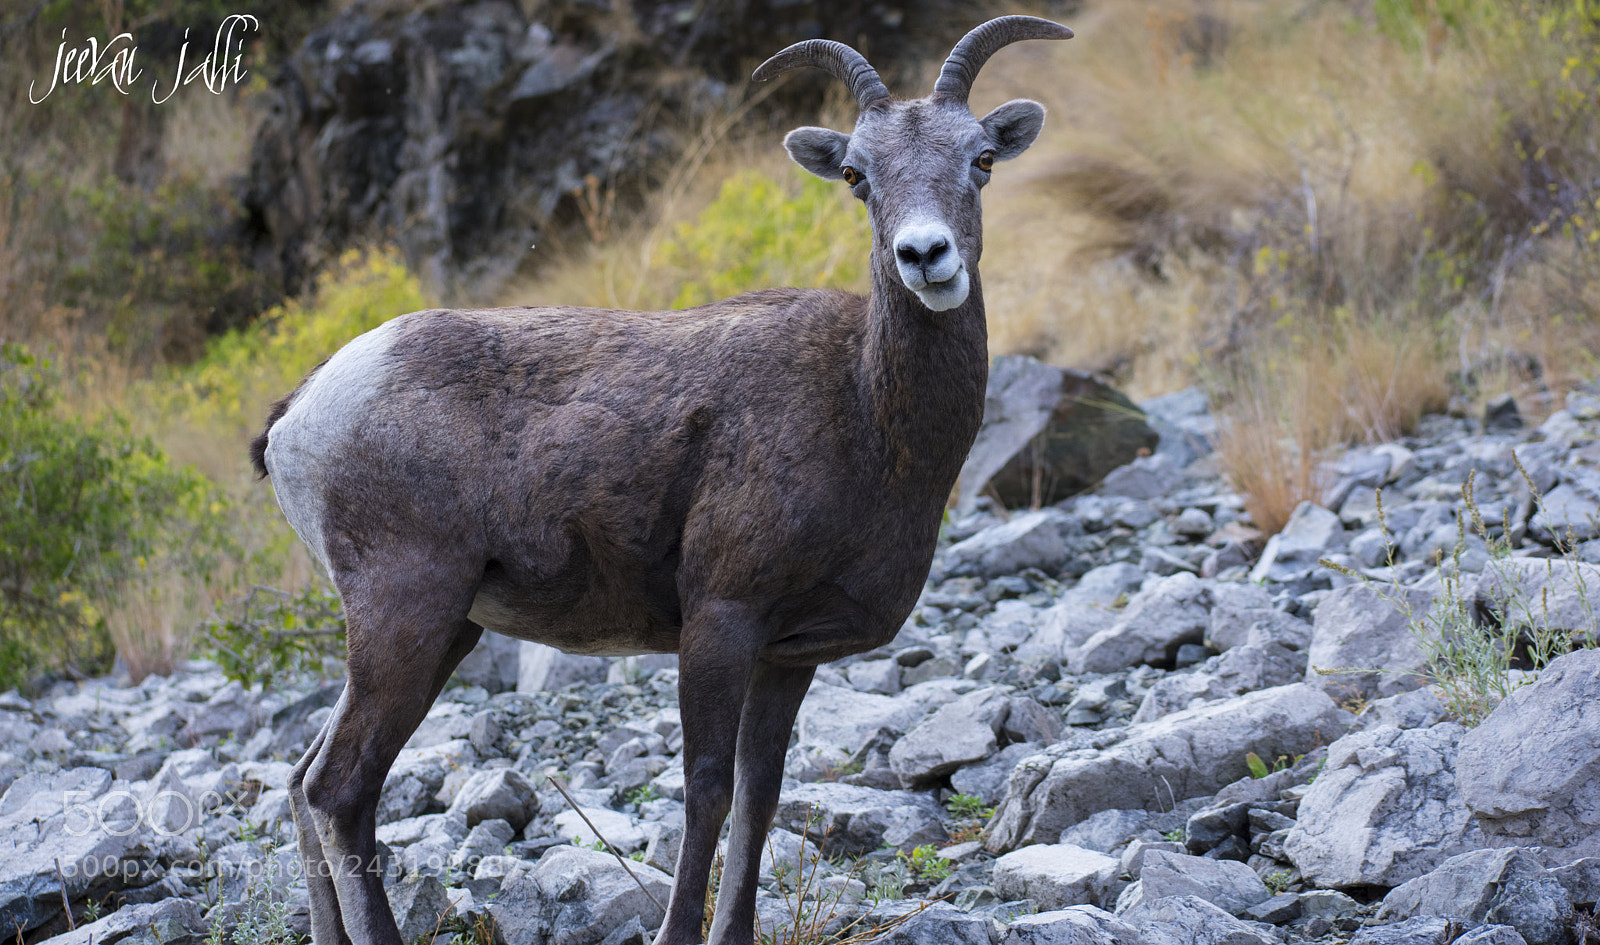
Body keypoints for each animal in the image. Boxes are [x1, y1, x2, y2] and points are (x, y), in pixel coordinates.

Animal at [250, 15, 1072, 945]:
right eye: (858, 176)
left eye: (981, 159)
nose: (924, 256)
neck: (866, 417)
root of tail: (302, 411)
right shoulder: (720, 623)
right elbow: (707, 788)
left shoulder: (788, 655)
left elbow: (760, 794)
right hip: (406, 616)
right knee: (339, 788)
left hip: (437, 634)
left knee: (302, 779)